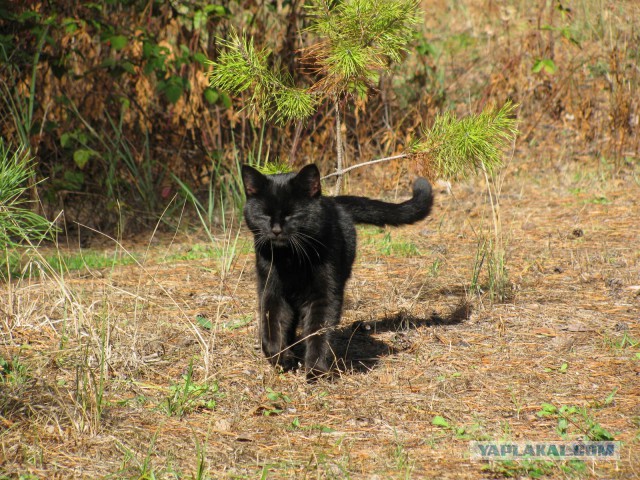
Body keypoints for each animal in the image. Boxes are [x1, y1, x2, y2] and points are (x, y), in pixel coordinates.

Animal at [241, 165, 436, 382]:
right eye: (264, 215)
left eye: (292, 214)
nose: (275, 230)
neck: (291, 259)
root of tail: (334, 201)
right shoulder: (271, 290)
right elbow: (271, 327)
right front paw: (281, 358)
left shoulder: (325, 294)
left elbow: (319, 331)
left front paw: (316, 370)